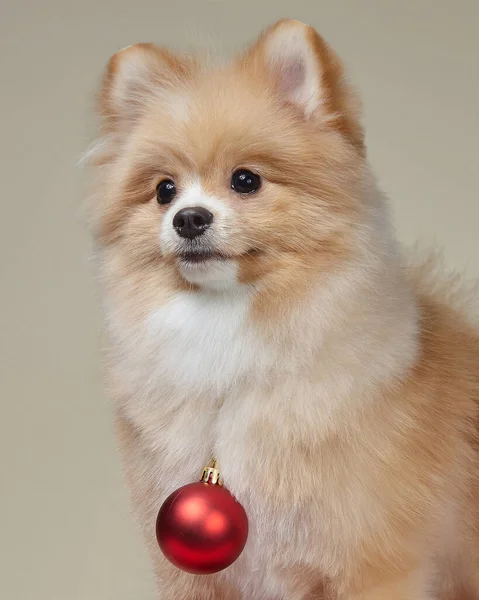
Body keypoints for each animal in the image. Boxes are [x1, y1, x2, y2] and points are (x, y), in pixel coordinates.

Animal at [86, 18, 479, 600]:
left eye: (246, 180)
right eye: (164, 190)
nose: (188, 218)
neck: (229, 342)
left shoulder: (374, 567)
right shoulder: (197, 578)